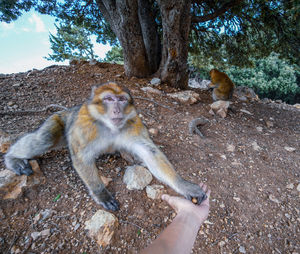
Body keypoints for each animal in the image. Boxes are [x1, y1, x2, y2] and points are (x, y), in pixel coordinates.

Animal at [4, 81, 207, 210]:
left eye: (121, 99)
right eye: (109, 99)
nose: (117, 110)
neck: (110, 127)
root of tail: (68, 111)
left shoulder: (133, 123)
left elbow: (150, 152)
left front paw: (183, 185)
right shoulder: (84, 128)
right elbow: (81, 157)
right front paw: (101, 193)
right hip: (57, 119)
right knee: (44, 139)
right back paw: (11, 158)